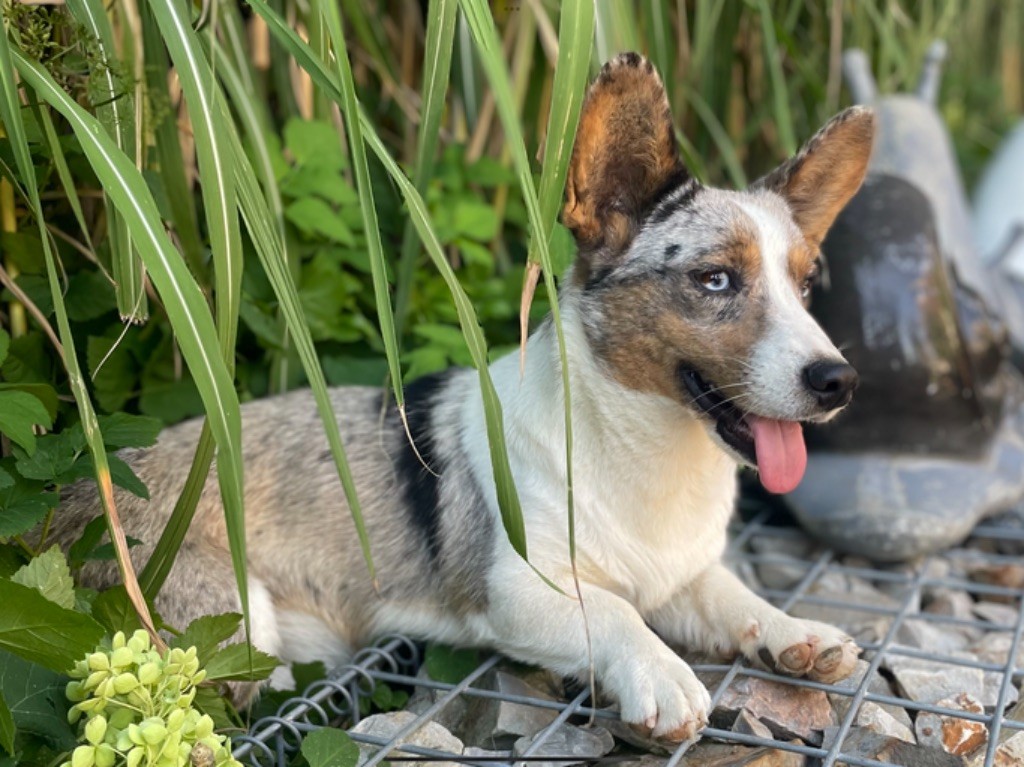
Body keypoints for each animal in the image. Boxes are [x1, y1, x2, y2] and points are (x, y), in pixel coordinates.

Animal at [54, 52, 872, 737]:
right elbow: (615, 613)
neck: (651, 454)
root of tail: (69, 508)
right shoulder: (522, 589)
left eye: (806, 285)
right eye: (715, 280)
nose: (839, 381)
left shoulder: (683, 575)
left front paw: (797, 633)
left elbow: (732, 596)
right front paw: (662, 675)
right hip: (233, 618)